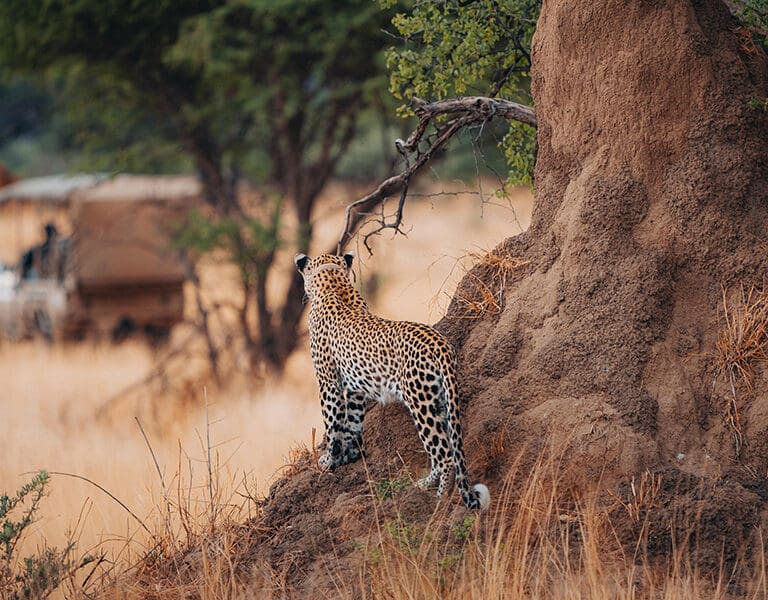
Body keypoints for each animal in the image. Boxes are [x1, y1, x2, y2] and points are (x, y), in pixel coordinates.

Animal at [294, 251, 490, 510]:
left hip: (421, 403)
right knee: (444, 449)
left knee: (445, 454)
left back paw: (436, 499)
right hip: (439, 401)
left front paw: (329, 459)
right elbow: (353, 422)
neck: (334, 283)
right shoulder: (356, 389)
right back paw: (423, 486)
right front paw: (351, 454)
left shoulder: (329, 383)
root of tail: (440, 343)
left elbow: (333, 423)